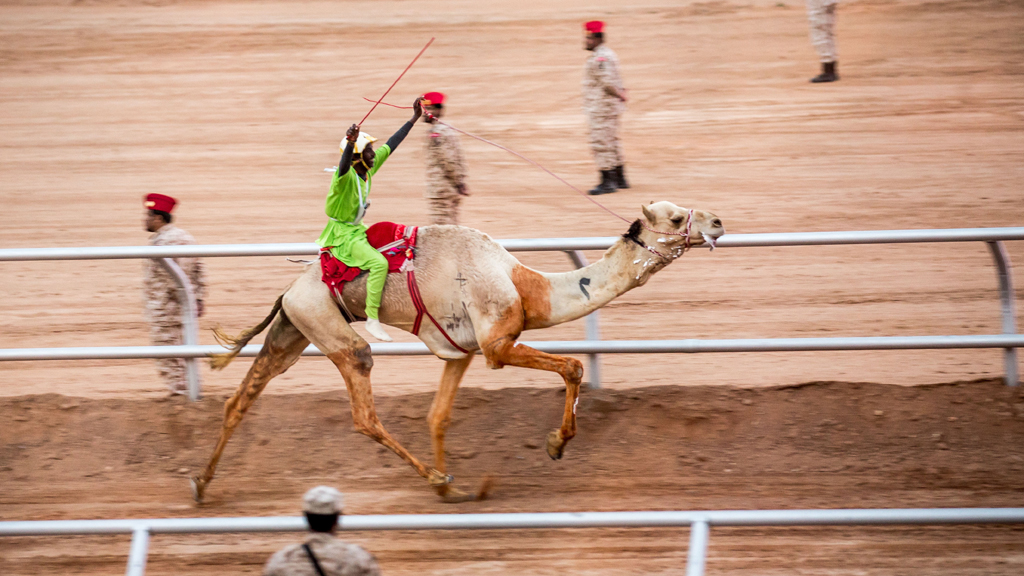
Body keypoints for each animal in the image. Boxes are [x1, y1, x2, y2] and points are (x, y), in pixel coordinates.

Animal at [190, 200, 720, 498]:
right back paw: (433, 479)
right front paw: (554, 444)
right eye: (677, 217)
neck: (526, 285)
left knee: (242, 397)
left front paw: (462, 490)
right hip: (330, 328)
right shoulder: (496, 343)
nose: (717, 221)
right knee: (362, 405)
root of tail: (288, 291)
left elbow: (437, 416)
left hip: (292, 330)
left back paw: (200, 485)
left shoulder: (460, 352)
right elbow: (571, 366)